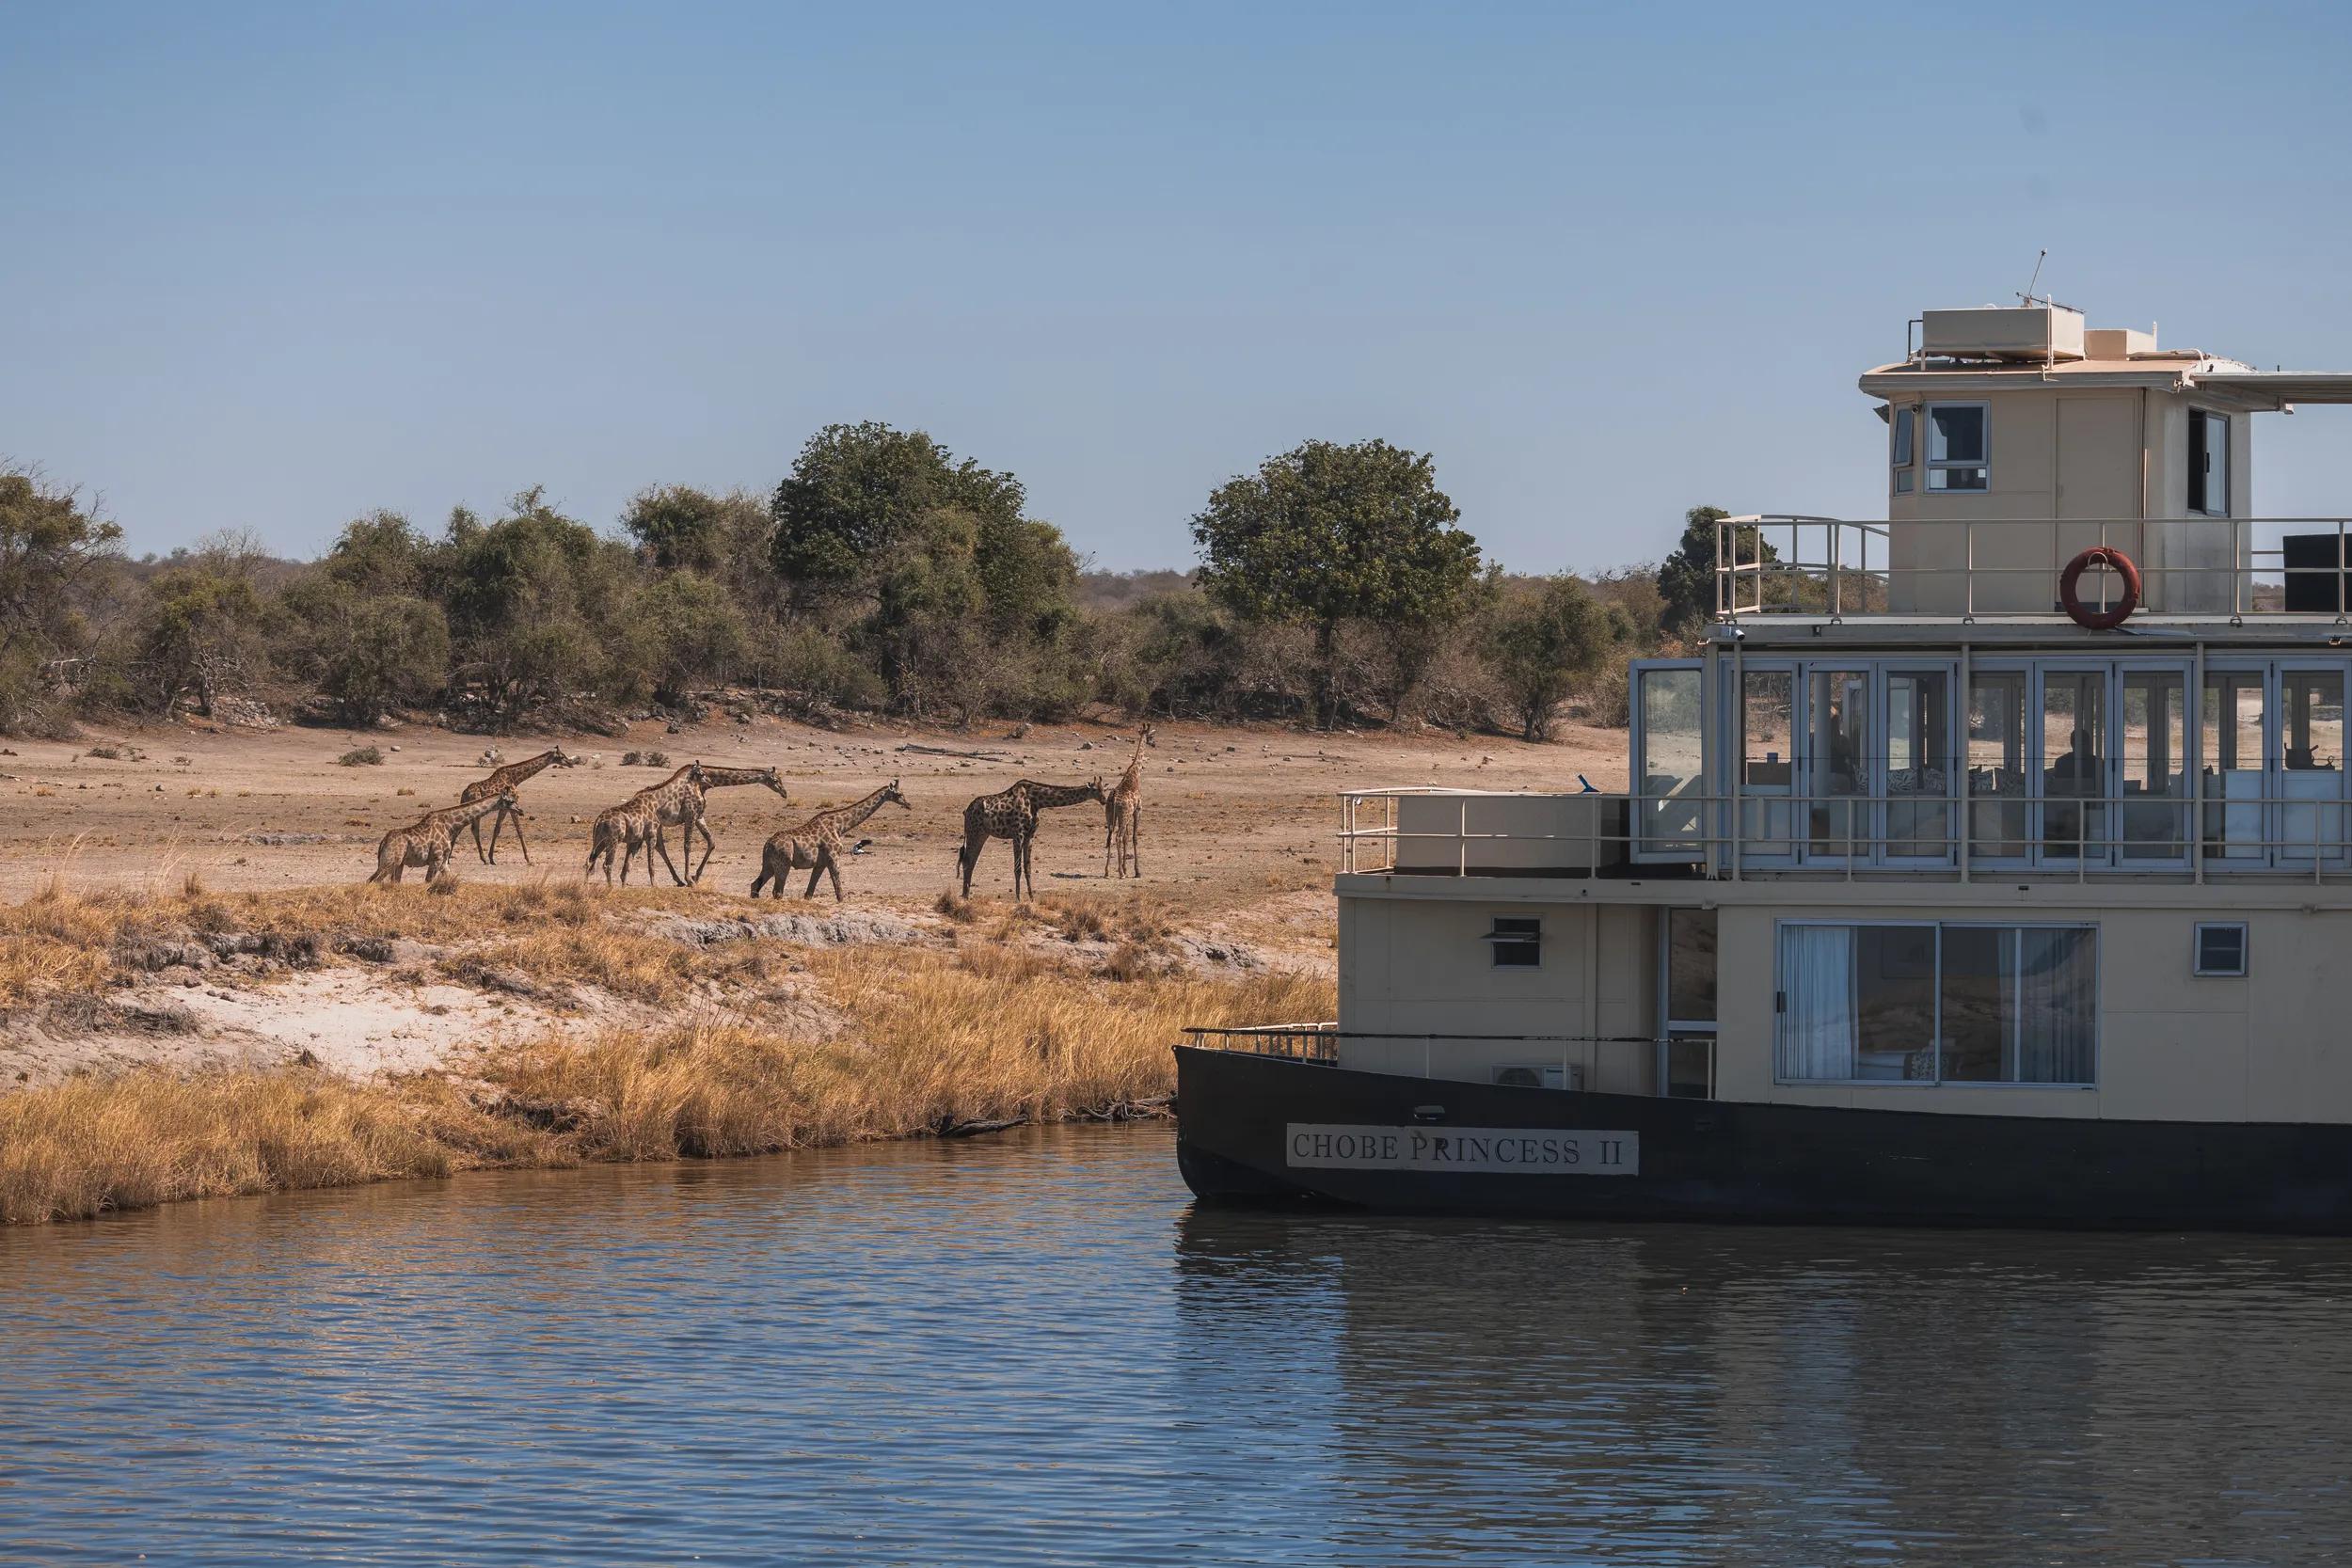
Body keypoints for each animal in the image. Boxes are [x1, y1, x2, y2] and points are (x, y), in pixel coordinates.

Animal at [369, 792, 516, 885]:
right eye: (511, 801)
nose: (519, 810)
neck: (450, 825)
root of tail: (383, 842)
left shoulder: (444, 861)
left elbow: (449, 879)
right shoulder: (437, 859)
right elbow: (427, 883)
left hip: (398, 864)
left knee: (388, 882)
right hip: (390, 862)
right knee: (373, 881)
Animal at [583, 764, 704, 886]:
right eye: (701, 773)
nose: (701, 799)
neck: (657, 803)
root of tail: (599, 820)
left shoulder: (636, 839)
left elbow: (627, 866)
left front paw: (624, 887)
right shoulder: (651, 835)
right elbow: (651, 865)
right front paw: (655, 886)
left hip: (599, 841)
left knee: (589, 861)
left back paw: (585, 886)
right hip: (612, 840)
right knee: (607, 865)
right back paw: (610, 888)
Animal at [750, 780, 910, 901]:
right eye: (899, 794)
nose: (908, 804)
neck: (840, 826)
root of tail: (767, 845)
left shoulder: (820, 863)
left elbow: (809, 893)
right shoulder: (833, 856)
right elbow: (838, 889)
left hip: (769, 864)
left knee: (755, 885)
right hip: (784, 863)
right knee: (777, 891)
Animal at [955, 777, 1105, 901]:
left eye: (1105, 788)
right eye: (1095, 789)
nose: (1104, 800)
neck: (1037, 801)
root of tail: (966, 811)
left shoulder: (1030, 835)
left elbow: (1028, 868)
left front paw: (1032, 898)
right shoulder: (1018, 833)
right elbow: (1018, 868)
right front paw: (1018, 899)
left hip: (982, 834)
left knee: (970, 861)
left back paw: (966, 895)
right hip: (974, 831)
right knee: (967, 860)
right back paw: (965, 895)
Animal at [1100, 723, 1157, 878]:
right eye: (1151, 736)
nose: (1154, 744)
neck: (1135, 774)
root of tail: (1113, 799)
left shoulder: (1128, 815)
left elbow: (1126, 838)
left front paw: (1126, 868)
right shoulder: (1138, 810)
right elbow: (1134, 838)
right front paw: (1137, 871)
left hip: (1111, 816)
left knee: (1111, 837)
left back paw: (1107, 871)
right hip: (1123, 815)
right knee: (1118, 837)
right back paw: (1120, 874)